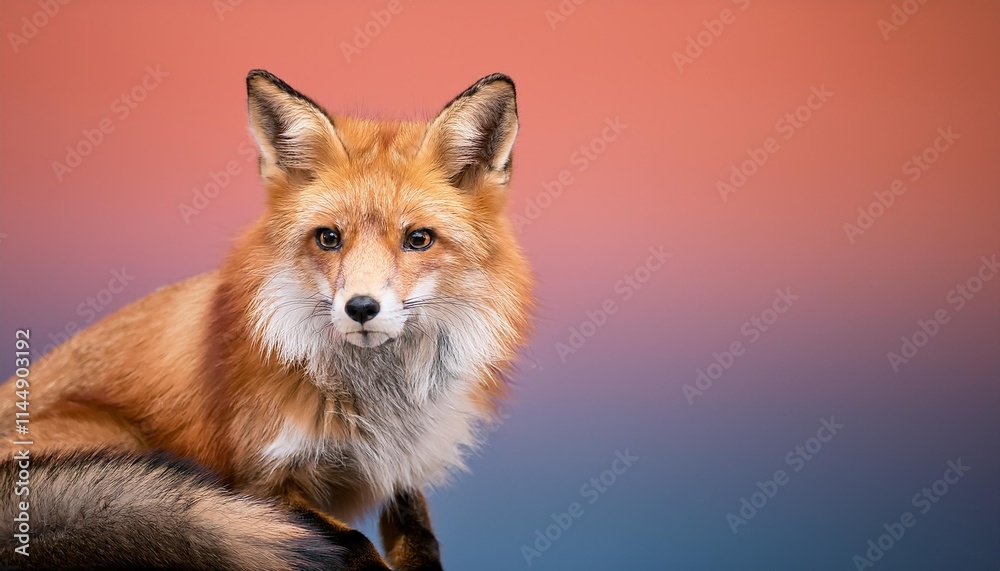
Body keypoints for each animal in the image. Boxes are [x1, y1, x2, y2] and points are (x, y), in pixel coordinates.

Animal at [0, 69, 532, 570]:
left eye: (418, 239)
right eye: (328, 238)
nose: (361, 308)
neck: (378, 403)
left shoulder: (402, 468)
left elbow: (420, 538)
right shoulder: (253, 482)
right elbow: (351, 543)